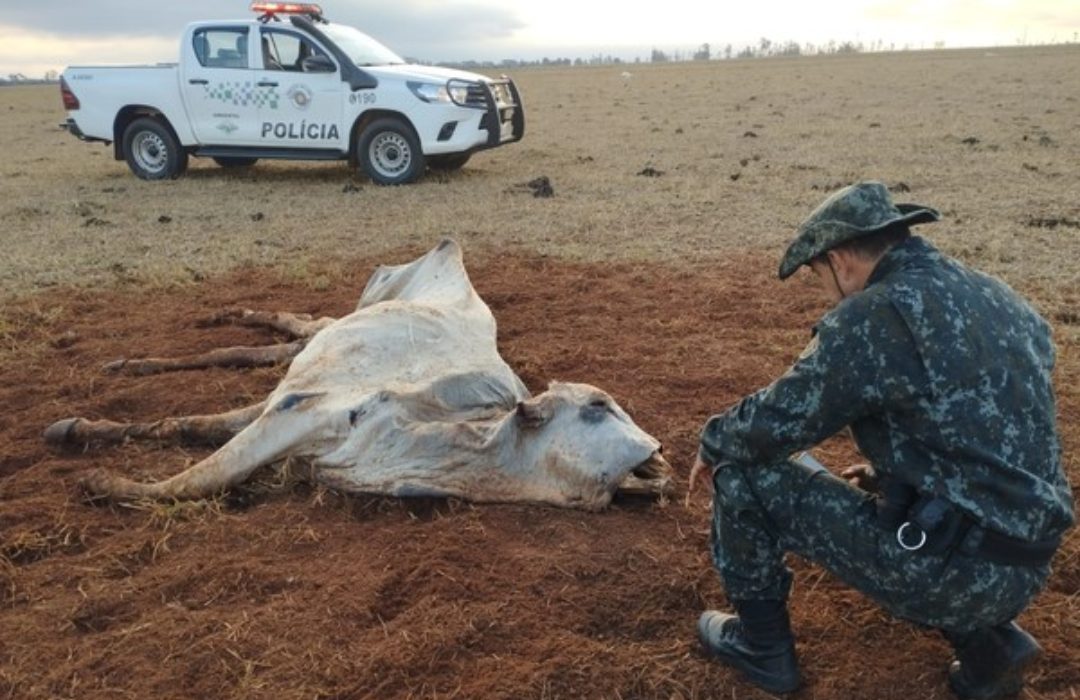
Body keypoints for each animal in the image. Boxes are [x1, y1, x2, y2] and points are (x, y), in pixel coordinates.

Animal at [46, 238, 669, 507]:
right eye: (598, 405)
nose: (659, 453)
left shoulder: (291, 415)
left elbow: (201, 437)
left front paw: (87, 440)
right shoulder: (301, 409)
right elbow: (204, 473)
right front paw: (97, 475)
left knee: (282, 343)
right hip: (360, 308)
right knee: (291, 326)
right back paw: (212, 321)